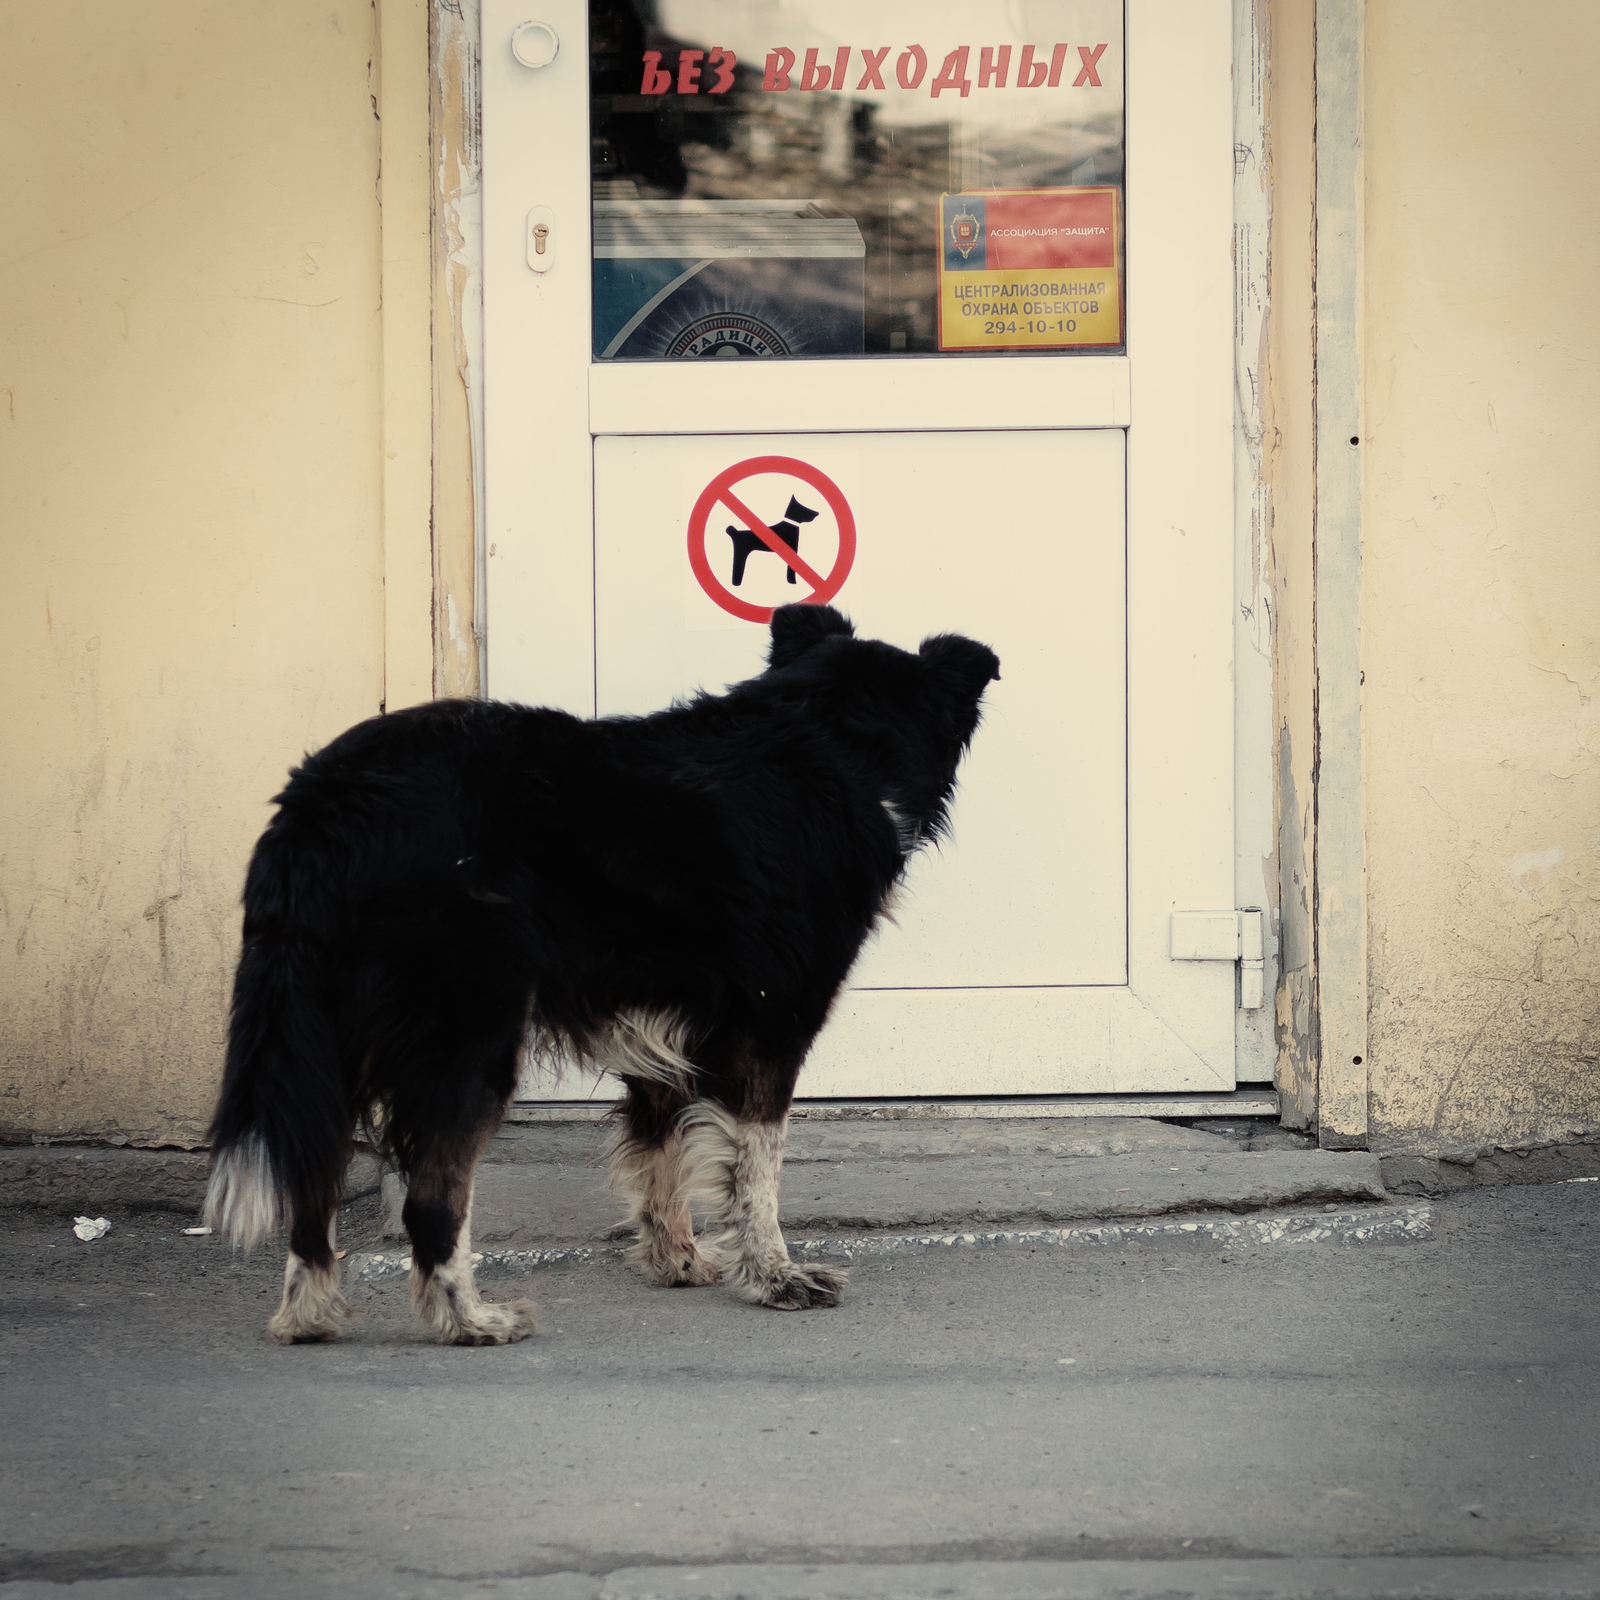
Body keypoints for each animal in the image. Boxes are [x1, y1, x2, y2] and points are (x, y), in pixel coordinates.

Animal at [201, 604, 998, 1344]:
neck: (829, 736)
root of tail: (324, 802)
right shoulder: (771, 1022)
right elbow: (755, 1167)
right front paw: (775, 1277)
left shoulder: (665, 1030)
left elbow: (661, 1149)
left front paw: (678, 1262)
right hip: (470, 1026)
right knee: (429, 1196)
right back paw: (471, 1322)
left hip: (324, 1027)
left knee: (312, 1175)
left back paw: (308, 1316)